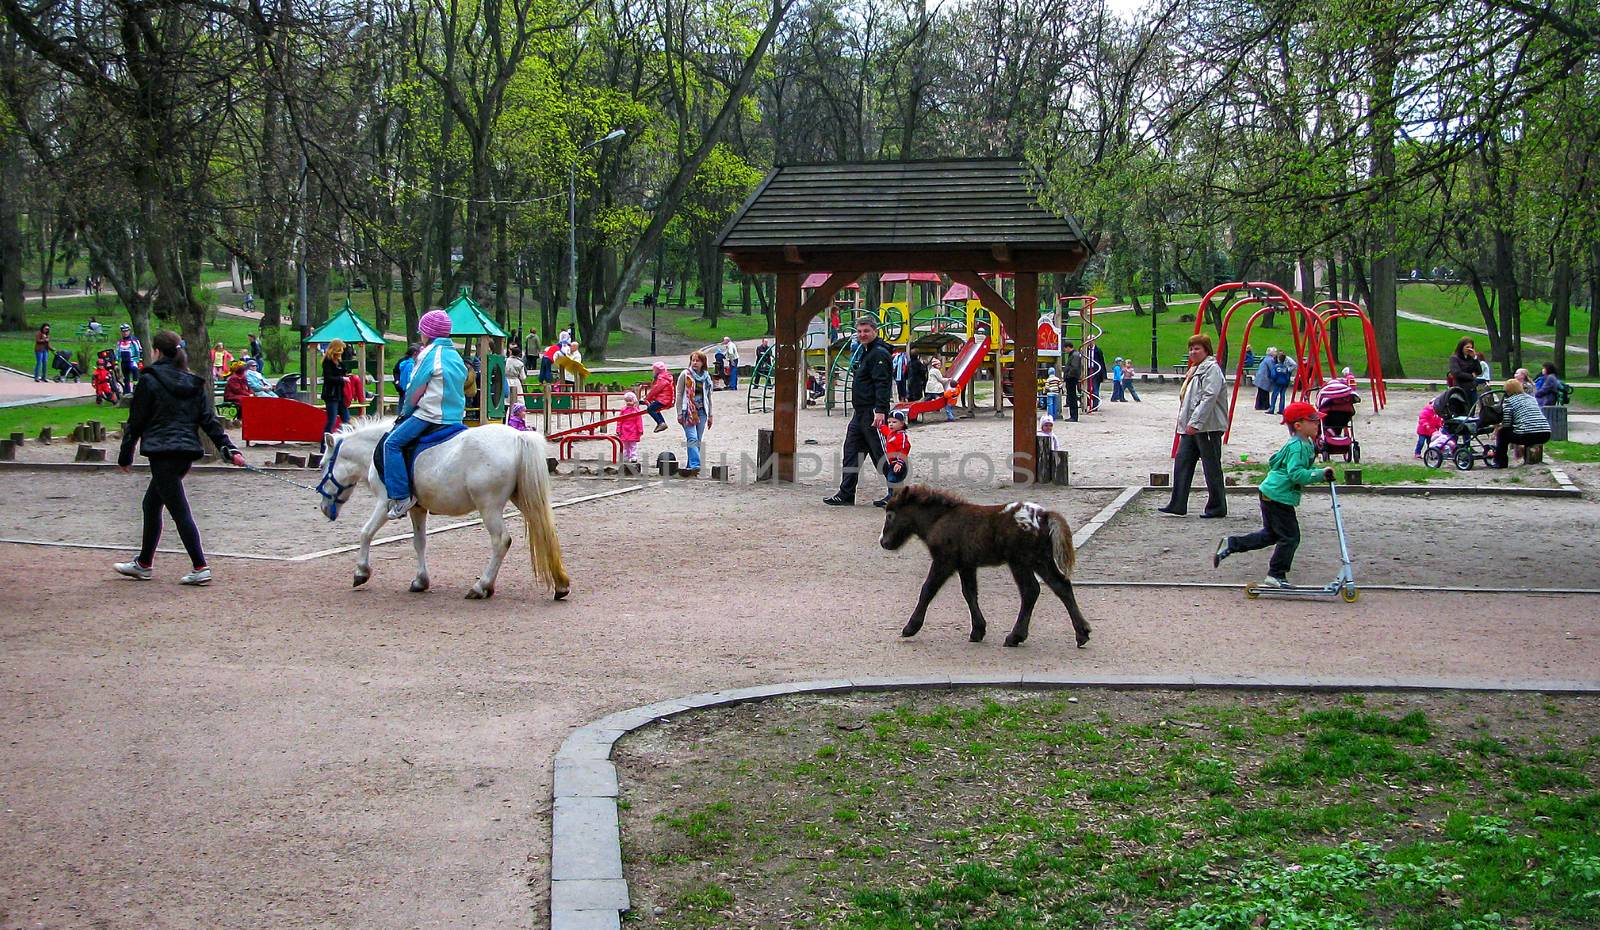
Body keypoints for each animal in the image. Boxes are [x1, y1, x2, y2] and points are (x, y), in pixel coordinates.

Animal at [316, 416, 569, 601]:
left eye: (322, 465)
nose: (323, 507)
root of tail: (518, 436)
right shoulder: (417, 509)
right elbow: (419, 542)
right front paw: (420, 581)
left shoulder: (384, 502)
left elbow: (366, 532)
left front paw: (361, 571)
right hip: (523, 499)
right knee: (545, 532)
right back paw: (561, 585)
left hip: (489, 506)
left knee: (501, 541)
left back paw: (481, 586)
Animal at [883, 486, 1094, 646]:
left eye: (890, 515)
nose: (883, 542)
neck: (940, 519)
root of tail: (1043, 515)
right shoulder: (966, 565)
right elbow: (969, 594)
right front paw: (978, 631)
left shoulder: (945, 561)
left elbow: (927, 590)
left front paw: (910, 628)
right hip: (1040, 560)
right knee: (1061, 586)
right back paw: (1082, 634)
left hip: (1020, 562)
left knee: (1030, 591)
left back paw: (1014, 637)